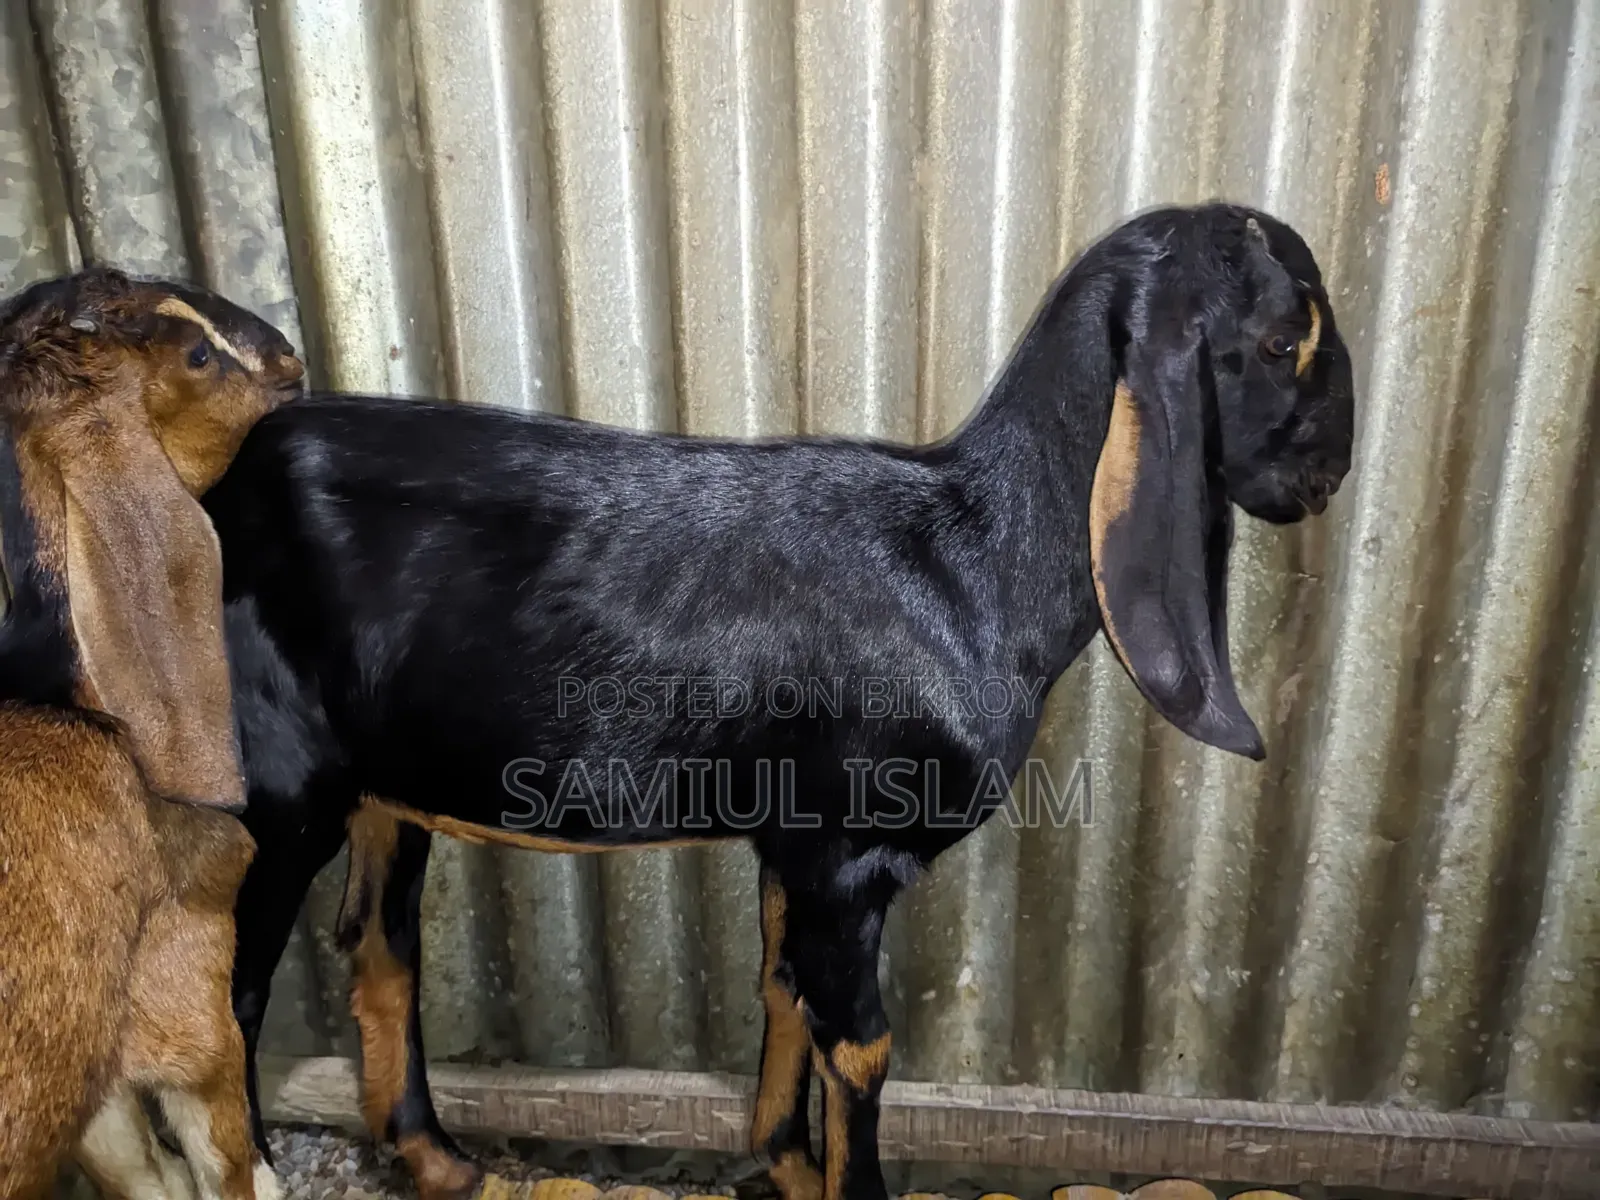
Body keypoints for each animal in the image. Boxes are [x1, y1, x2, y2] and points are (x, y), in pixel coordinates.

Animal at [0, 269, 303, 1200]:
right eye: (198, 355)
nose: (290, 356)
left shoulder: (92, 1074)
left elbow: (140, 1173)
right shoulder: (187, 1001)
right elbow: (225, 1167)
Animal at [205, 203, 1355, 1200]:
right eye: (1282, 338)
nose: (1333, 474)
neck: (972, 565)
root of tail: (226, 485)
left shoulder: (790, 842)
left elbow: (781, 992)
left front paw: (783, 1164)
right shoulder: (847, 855)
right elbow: (862, 1045)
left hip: (383, 791)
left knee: (379, 946)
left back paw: (440, 1162)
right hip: (270, 789)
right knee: (228, 993)